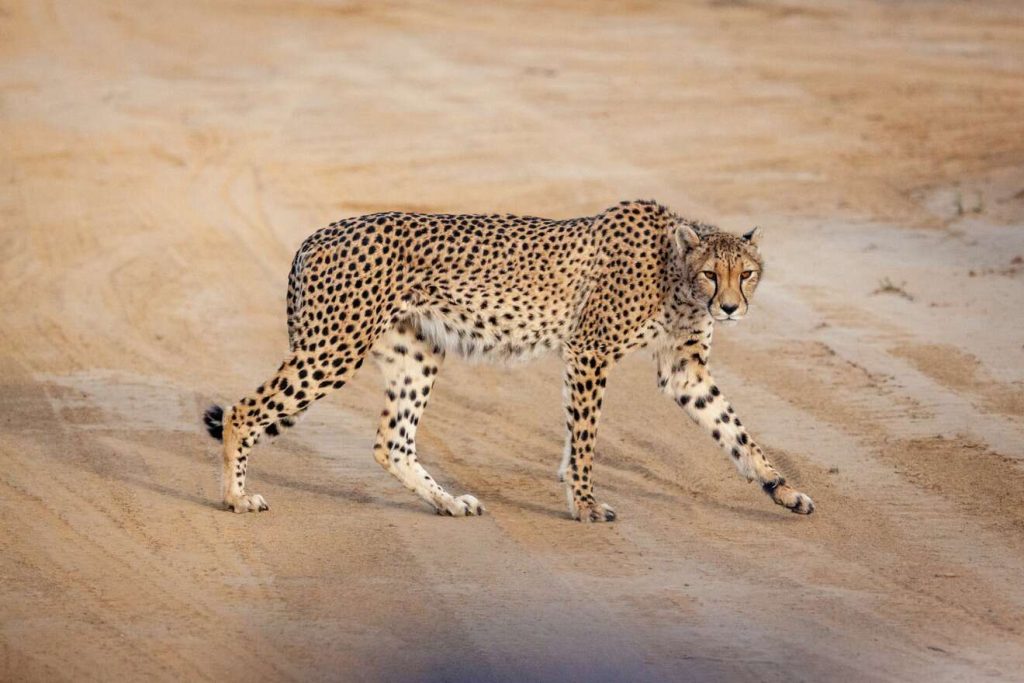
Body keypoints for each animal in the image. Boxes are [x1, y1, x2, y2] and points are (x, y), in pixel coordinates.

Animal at [203, 200, 815, 520]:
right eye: (713, 273)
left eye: (747, 273)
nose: (731, 307)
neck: (676, 275)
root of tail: (318, 233)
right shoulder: (589, 350)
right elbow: (586, 438)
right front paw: (585, 503)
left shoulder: (682, 370)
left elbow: (736, 431)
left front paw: (783, 490)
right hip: (334, 347)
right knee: (242, 410)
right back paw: (236, 496)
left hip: (415, 354)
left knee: (391, 444)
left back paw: (448, 502)